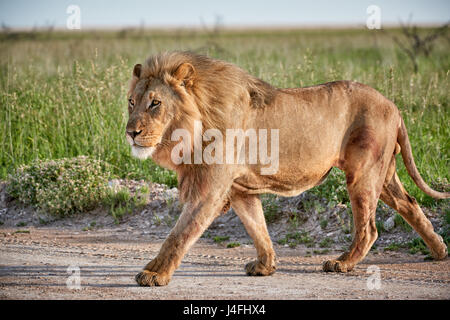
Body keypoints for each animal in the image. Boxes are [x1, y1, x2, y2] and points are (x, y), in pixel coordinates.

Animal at [125, 51, 448, 286]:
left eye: (155, 103)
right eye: (131, 102)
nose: (130, 132)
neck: (196, 121)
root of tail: (393, 106)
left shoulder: (210, 189)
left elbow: (179, 233)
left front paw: (154, 274)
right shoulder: (240, 190)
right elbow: (258, 228)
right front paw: (265, 266)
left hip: (363, 173)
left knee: (368, 228)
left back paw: (342, 263)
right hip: (384, 173)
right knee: (410, 204)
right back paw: (439, 250)